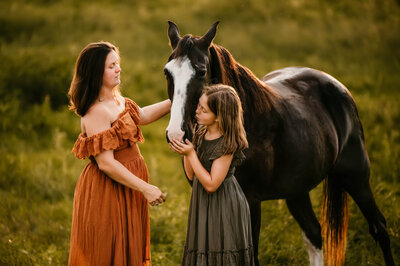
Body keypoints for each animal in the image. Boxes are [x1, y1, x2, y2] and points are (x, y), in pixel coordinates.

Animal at [164, 21, 396, 266]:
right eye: (167, 72)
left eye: (201, 72)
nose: (177, 134)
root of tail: (338, 87)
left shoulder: (251, 201)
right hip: (298, 190)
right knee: (314, 233)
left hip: (356, 178)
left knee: (379, 228)